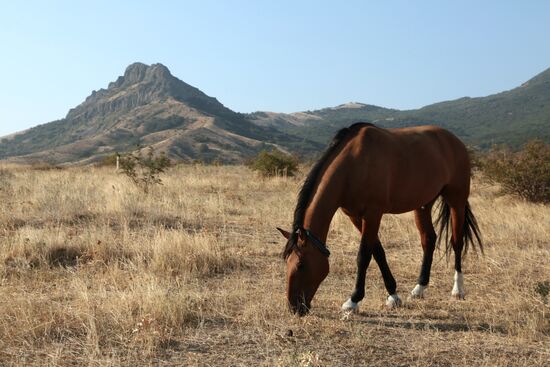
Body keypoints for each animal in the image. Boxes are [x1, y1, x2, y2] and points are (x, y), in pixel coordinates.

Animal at [276, 123, 484, 316]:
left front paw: (353, 301)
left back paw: (457, 290)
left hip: (456, 200)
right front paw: (393, 295)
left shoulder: (373, 214)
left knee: (456, 242)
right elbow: (378, 252)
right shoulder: (355, 216)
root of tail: (455, 141)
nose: (294, 307)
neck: (353, 165)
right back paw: (419, 289)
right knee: (428, 239)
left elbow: (364, 256)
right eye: (287, 262)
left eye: (301, 265)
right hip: (423, 204)